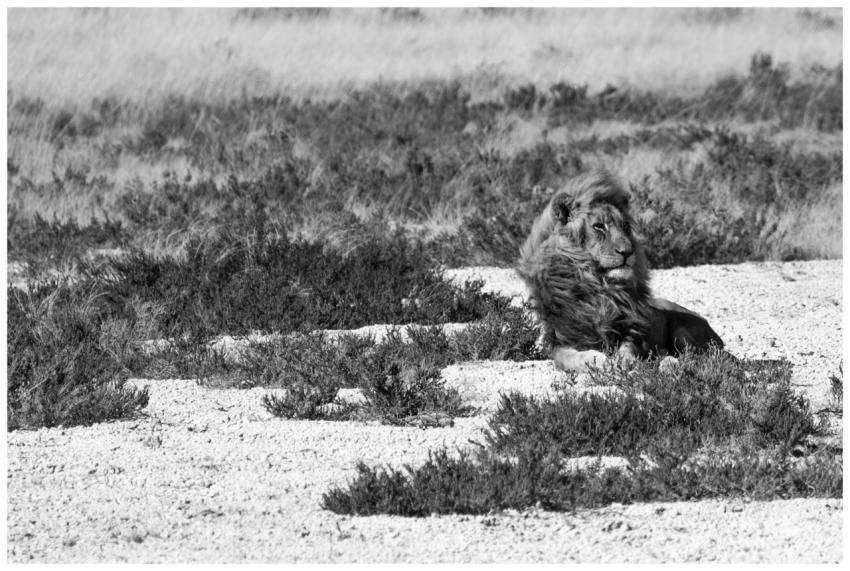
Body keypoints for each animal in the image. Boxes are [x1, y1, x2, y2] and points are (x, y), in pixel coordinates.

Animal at [516, 169, 723, 372]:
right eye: (599, 226)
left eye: (624, 226)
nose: (628, 252)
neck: (599, 287)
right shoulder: (559, 338)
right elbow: (570, 357)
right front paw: (599, 360)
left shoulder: (631, 329)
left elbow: (628, 348)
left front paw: (625, 361)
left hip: (683, 330)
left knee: (703, 358)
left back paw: (668, 362)